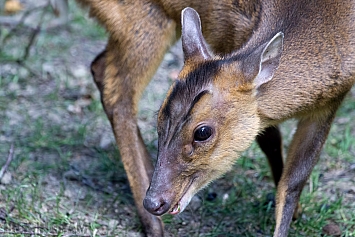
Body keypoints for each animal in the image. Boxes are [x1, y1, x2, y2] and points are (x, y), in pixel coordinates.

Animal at [76, 0, 354, 237]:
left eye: (202, 132)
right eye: (160, 117)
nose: (153, 201)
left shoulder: (330, 101)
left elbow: (293, 181)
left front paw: (294, 211)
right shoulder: (230, 34)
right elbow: (272, 143)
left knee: (102, 68)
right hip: (141, 19)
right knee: (115, 88)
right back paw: (154, 225)